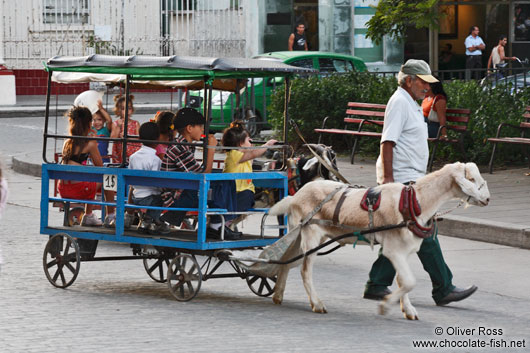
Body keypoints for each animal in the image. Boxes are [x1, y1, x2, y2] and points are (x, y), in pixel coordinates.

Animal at [266, 162, 488, 320]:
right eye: (471, 178)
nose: (487, 199)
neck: (416, 200)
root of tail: (294, 197)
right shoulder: (393, 250)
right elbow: (409, 281)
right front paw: (385, 306)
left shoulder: (404, 249)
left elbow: (403, 280)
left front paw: (408, 310)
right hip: (310, 235)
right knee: (304, 270)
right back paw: (317, 304)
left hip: (299, 235)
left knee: (285, 260)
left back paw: (278, 295)